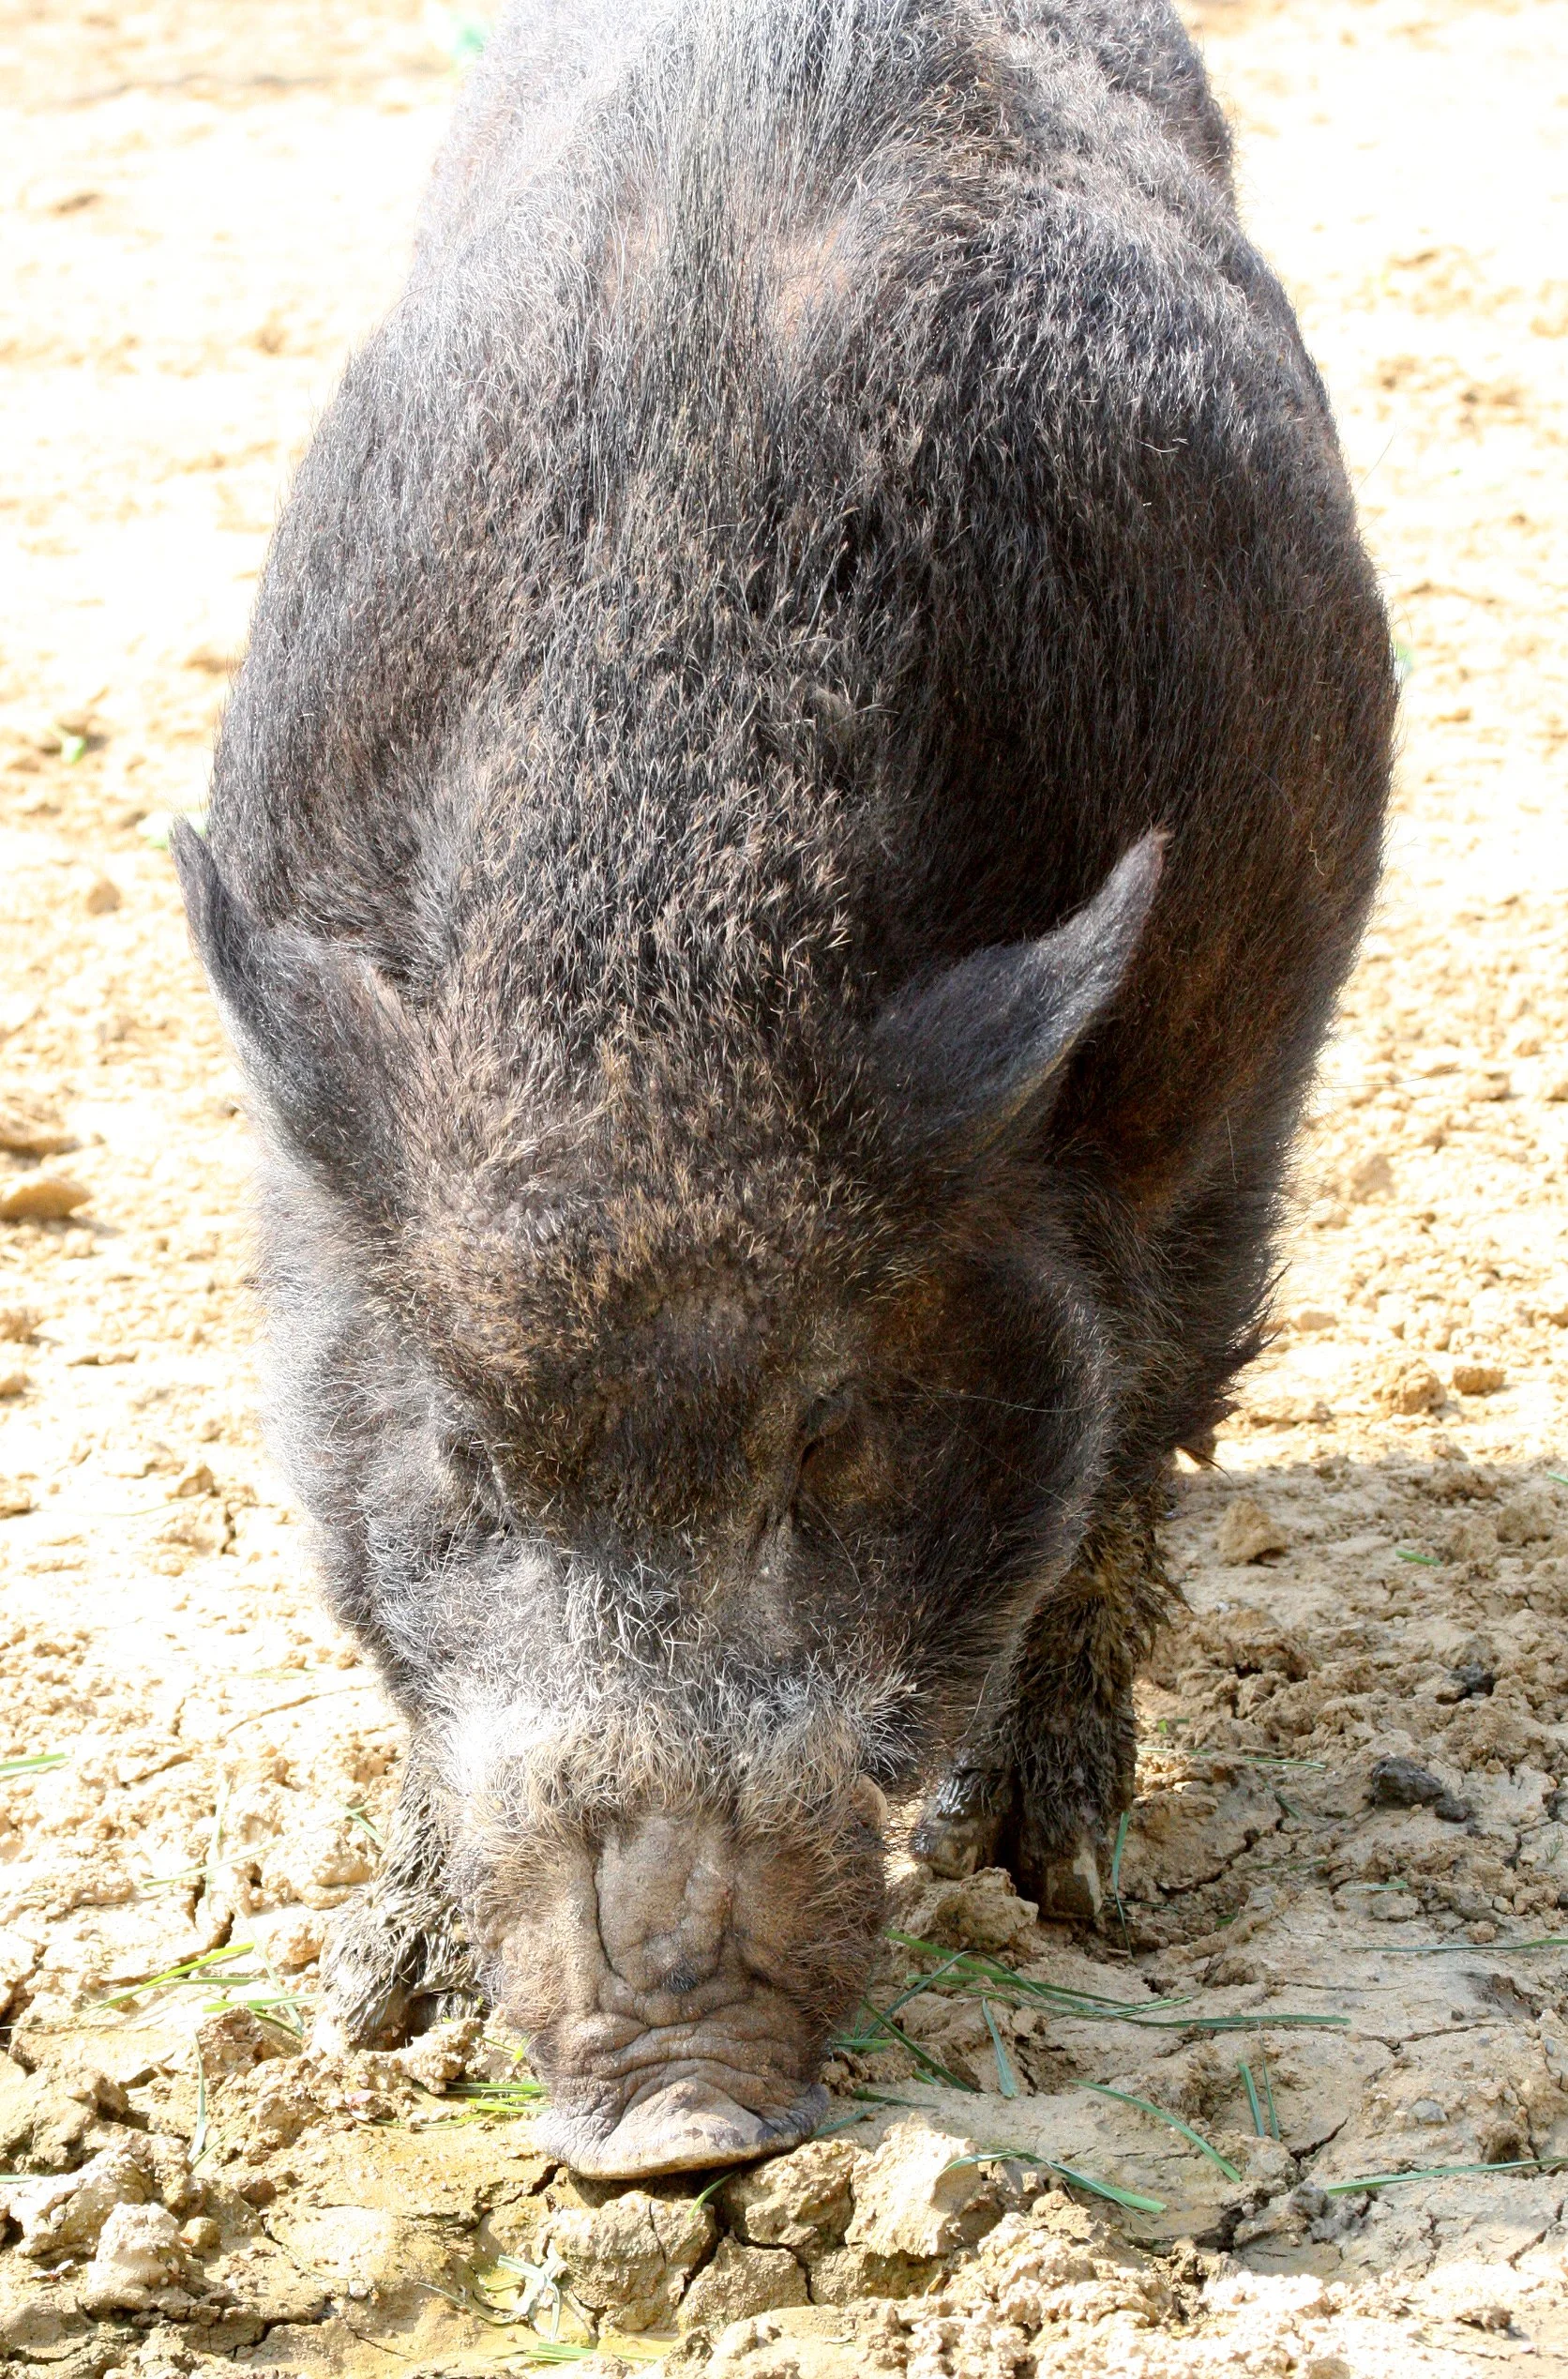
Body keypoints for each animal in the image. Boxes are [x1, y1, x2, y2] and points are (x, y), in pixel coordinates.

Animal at [174, 0, 1394, 2178]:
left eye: (832, 1431)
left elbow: (1139, 1422)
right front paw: (370, 2014)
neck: (661, 967)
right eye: (464, 1454)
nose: (674, 2116)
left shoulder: (1225, 1074)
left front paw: (1066, 1890)